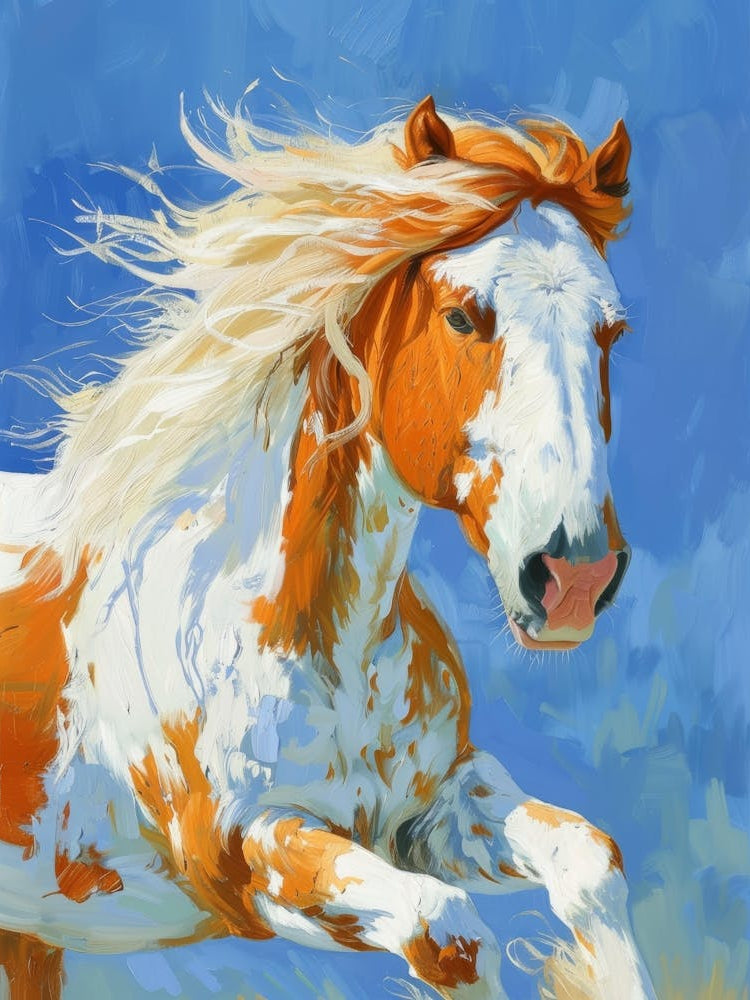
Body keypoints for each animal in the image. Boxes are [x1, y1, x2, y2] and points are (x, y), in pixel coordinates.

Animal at [0, 94, 656, 999]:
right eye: (462, 315)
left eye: (612, 330)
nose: (573, 578)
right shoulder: (252, 854)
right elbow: (446, 932)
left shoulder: (435, 808)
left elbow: (590, 861)